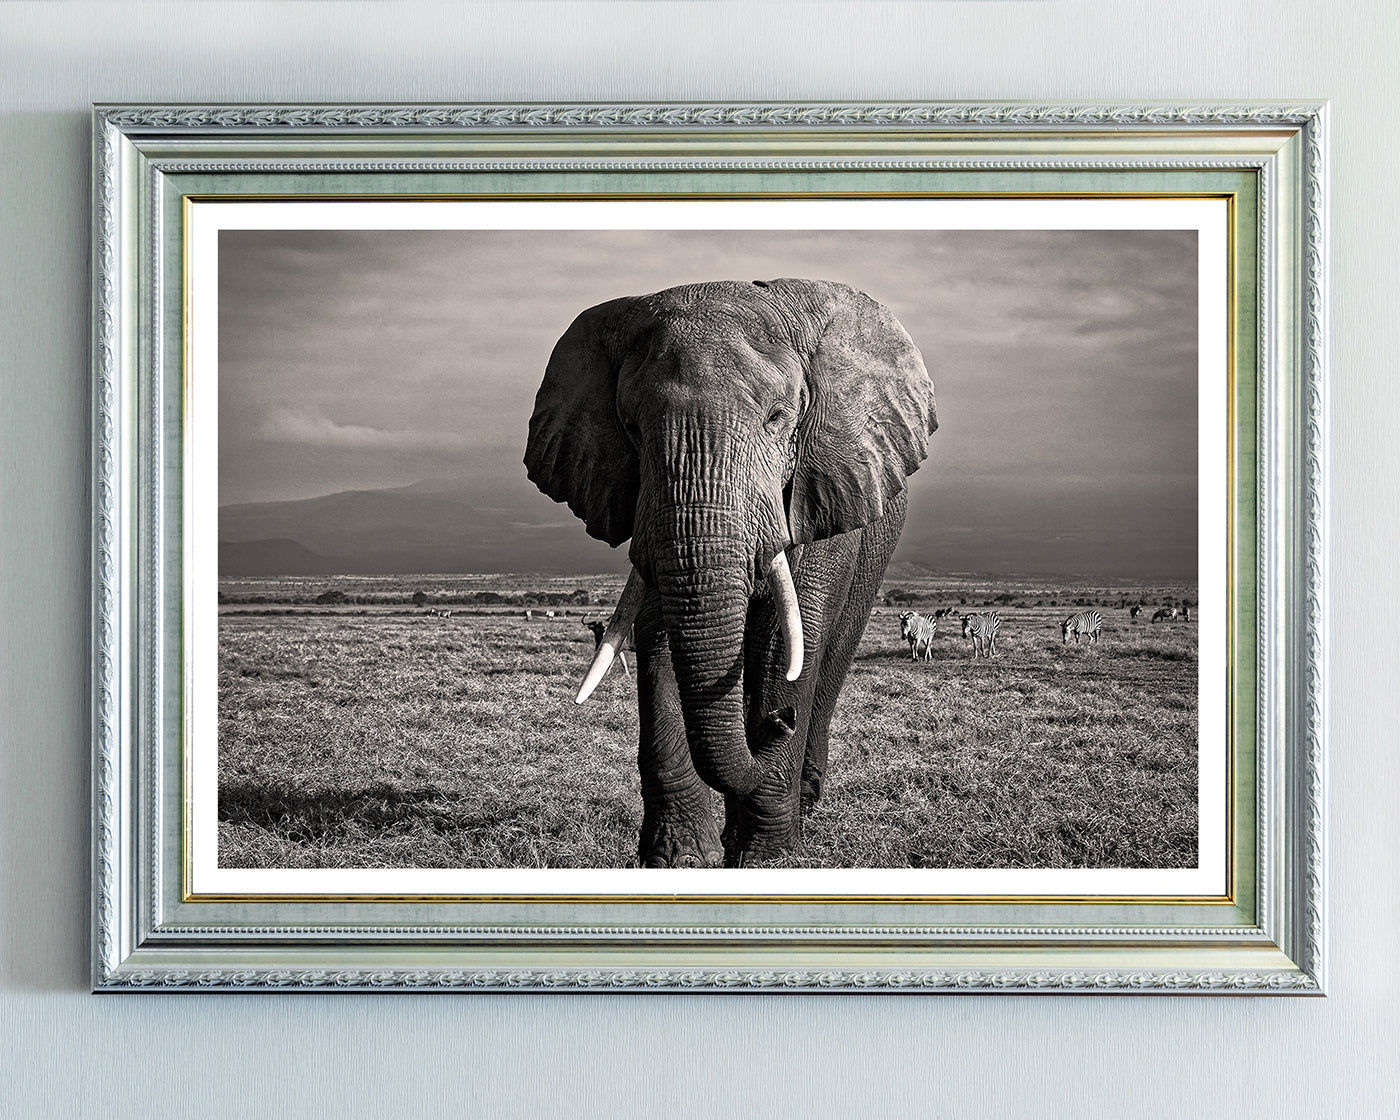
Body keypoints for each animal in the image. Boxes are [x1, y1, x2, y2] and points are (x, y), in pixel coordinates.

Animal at [525, 278, 937, 867]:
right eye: (630, 428)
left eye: (778, 418)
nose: (780, 722)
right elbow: (660, 632)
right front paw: (677, 858)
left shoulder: (820, 491)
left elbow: (787, 642)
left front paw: (765, 857)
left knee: (831, 654)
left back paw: (804, 799)